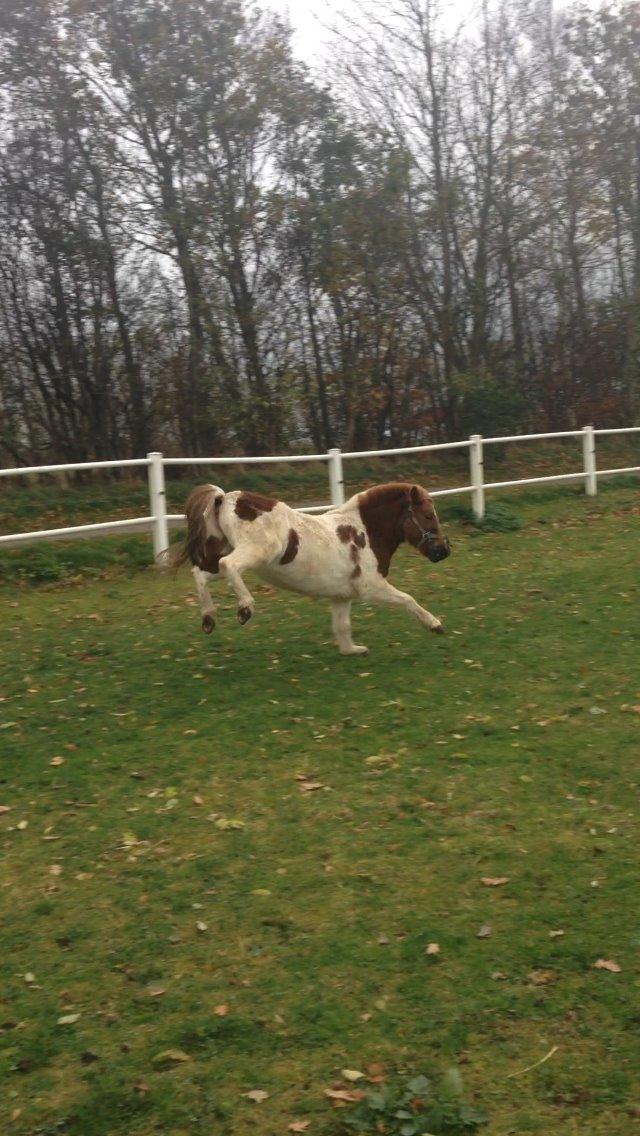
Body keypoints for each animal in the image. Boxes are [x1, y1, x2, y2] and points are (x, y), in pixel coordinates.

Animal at [170, 481, 450, 658]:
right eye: (428, 515)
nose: (444, 550)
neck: (364, 532)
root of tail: (225, 498)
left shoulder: (342, 595)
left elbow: (342, 626)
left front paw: (352, 650)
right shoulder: (371, 587)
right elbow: (408, 599)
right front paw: (435, 625)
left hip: (236, 555)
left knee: (201, 573)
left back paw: (209, 618)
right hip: (257, 552)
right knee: (228, 565)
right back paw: (245, 608)